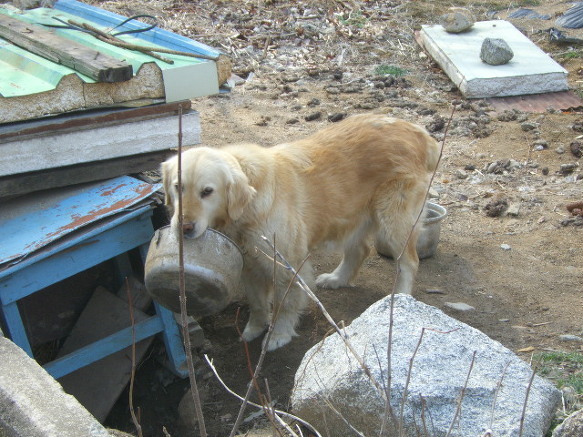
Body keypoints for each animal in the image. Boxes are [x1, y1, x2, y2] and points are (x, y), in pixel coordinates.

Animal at [162, 113, 440, 351]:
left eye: (207, 191)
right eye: (178, 187)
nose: (184, 227)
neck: (248, 207)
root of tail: (418, 131)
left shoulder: (288, 265)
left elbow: (284, 306)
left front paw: (278, 335)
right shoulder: (249, 264)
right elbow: (258, 304)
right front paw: (253, 329)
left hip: (394, 221)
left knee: (409, 262)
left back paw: (400, 299)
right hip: (351, 214)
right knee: (360, 249)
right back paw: (337, 279)